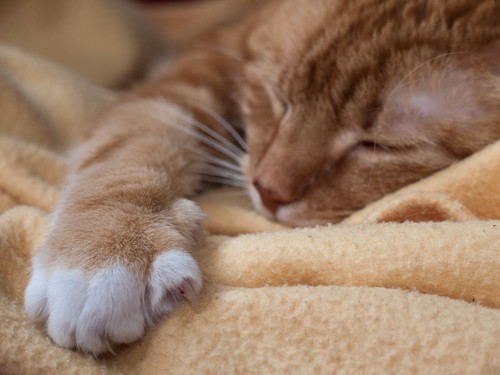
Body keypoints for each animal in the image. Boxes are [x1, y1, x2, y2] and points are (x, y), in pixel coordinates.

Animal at [23, 0, 500, 356]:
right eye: (277, 98)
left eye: (380, 146)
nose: (267, 190)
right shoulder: (195, 73)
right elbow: (133, 144)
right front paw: (106, 252)